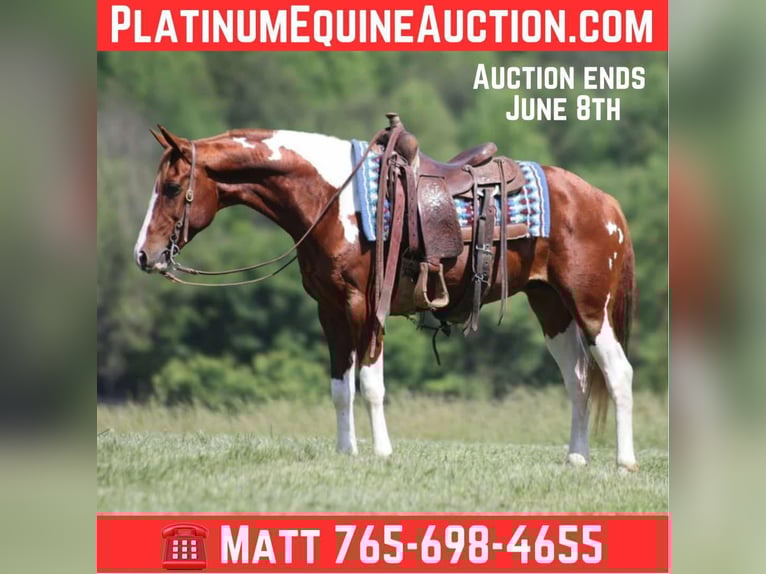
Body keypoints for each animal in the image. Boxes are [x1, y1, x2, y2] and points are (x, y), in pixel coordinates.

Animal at [133, 123, 638, 472]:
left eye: (173, 188)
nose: (144, 254)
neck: (334, 201)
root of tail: (605, 202)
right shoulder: (330, 311)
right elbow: (341, 387)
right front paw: (346, 452)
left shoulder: (366, 306)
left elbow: (371, 384)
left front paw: (380, 452)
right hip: (551, 307)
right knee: (577, 379)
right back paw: (576, 458)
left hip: (592, 308)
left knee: (617, 374)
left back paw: (625, 462)